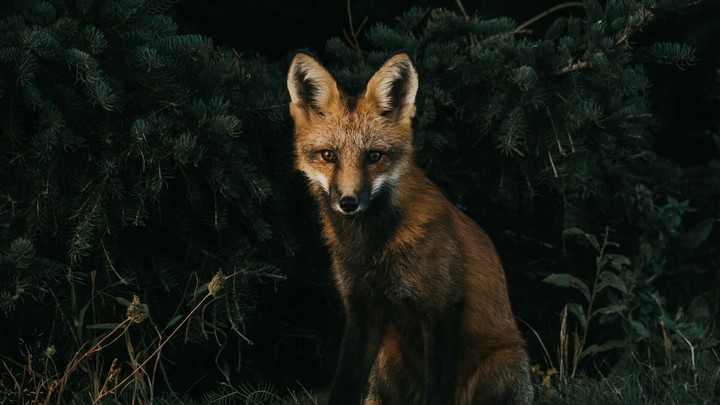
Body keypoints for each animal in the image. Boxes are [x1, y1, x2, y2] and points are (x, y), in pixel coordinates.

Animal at [287, 52, 533, 405]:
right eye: (328, 155)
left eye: (374, 156)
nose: (349, 202)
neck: (372, 248)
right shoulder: (361, 310)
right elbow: (344, 384)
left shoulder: (441, 308)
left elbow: (438, 390)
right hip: (386, 360)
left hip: (502, 364)